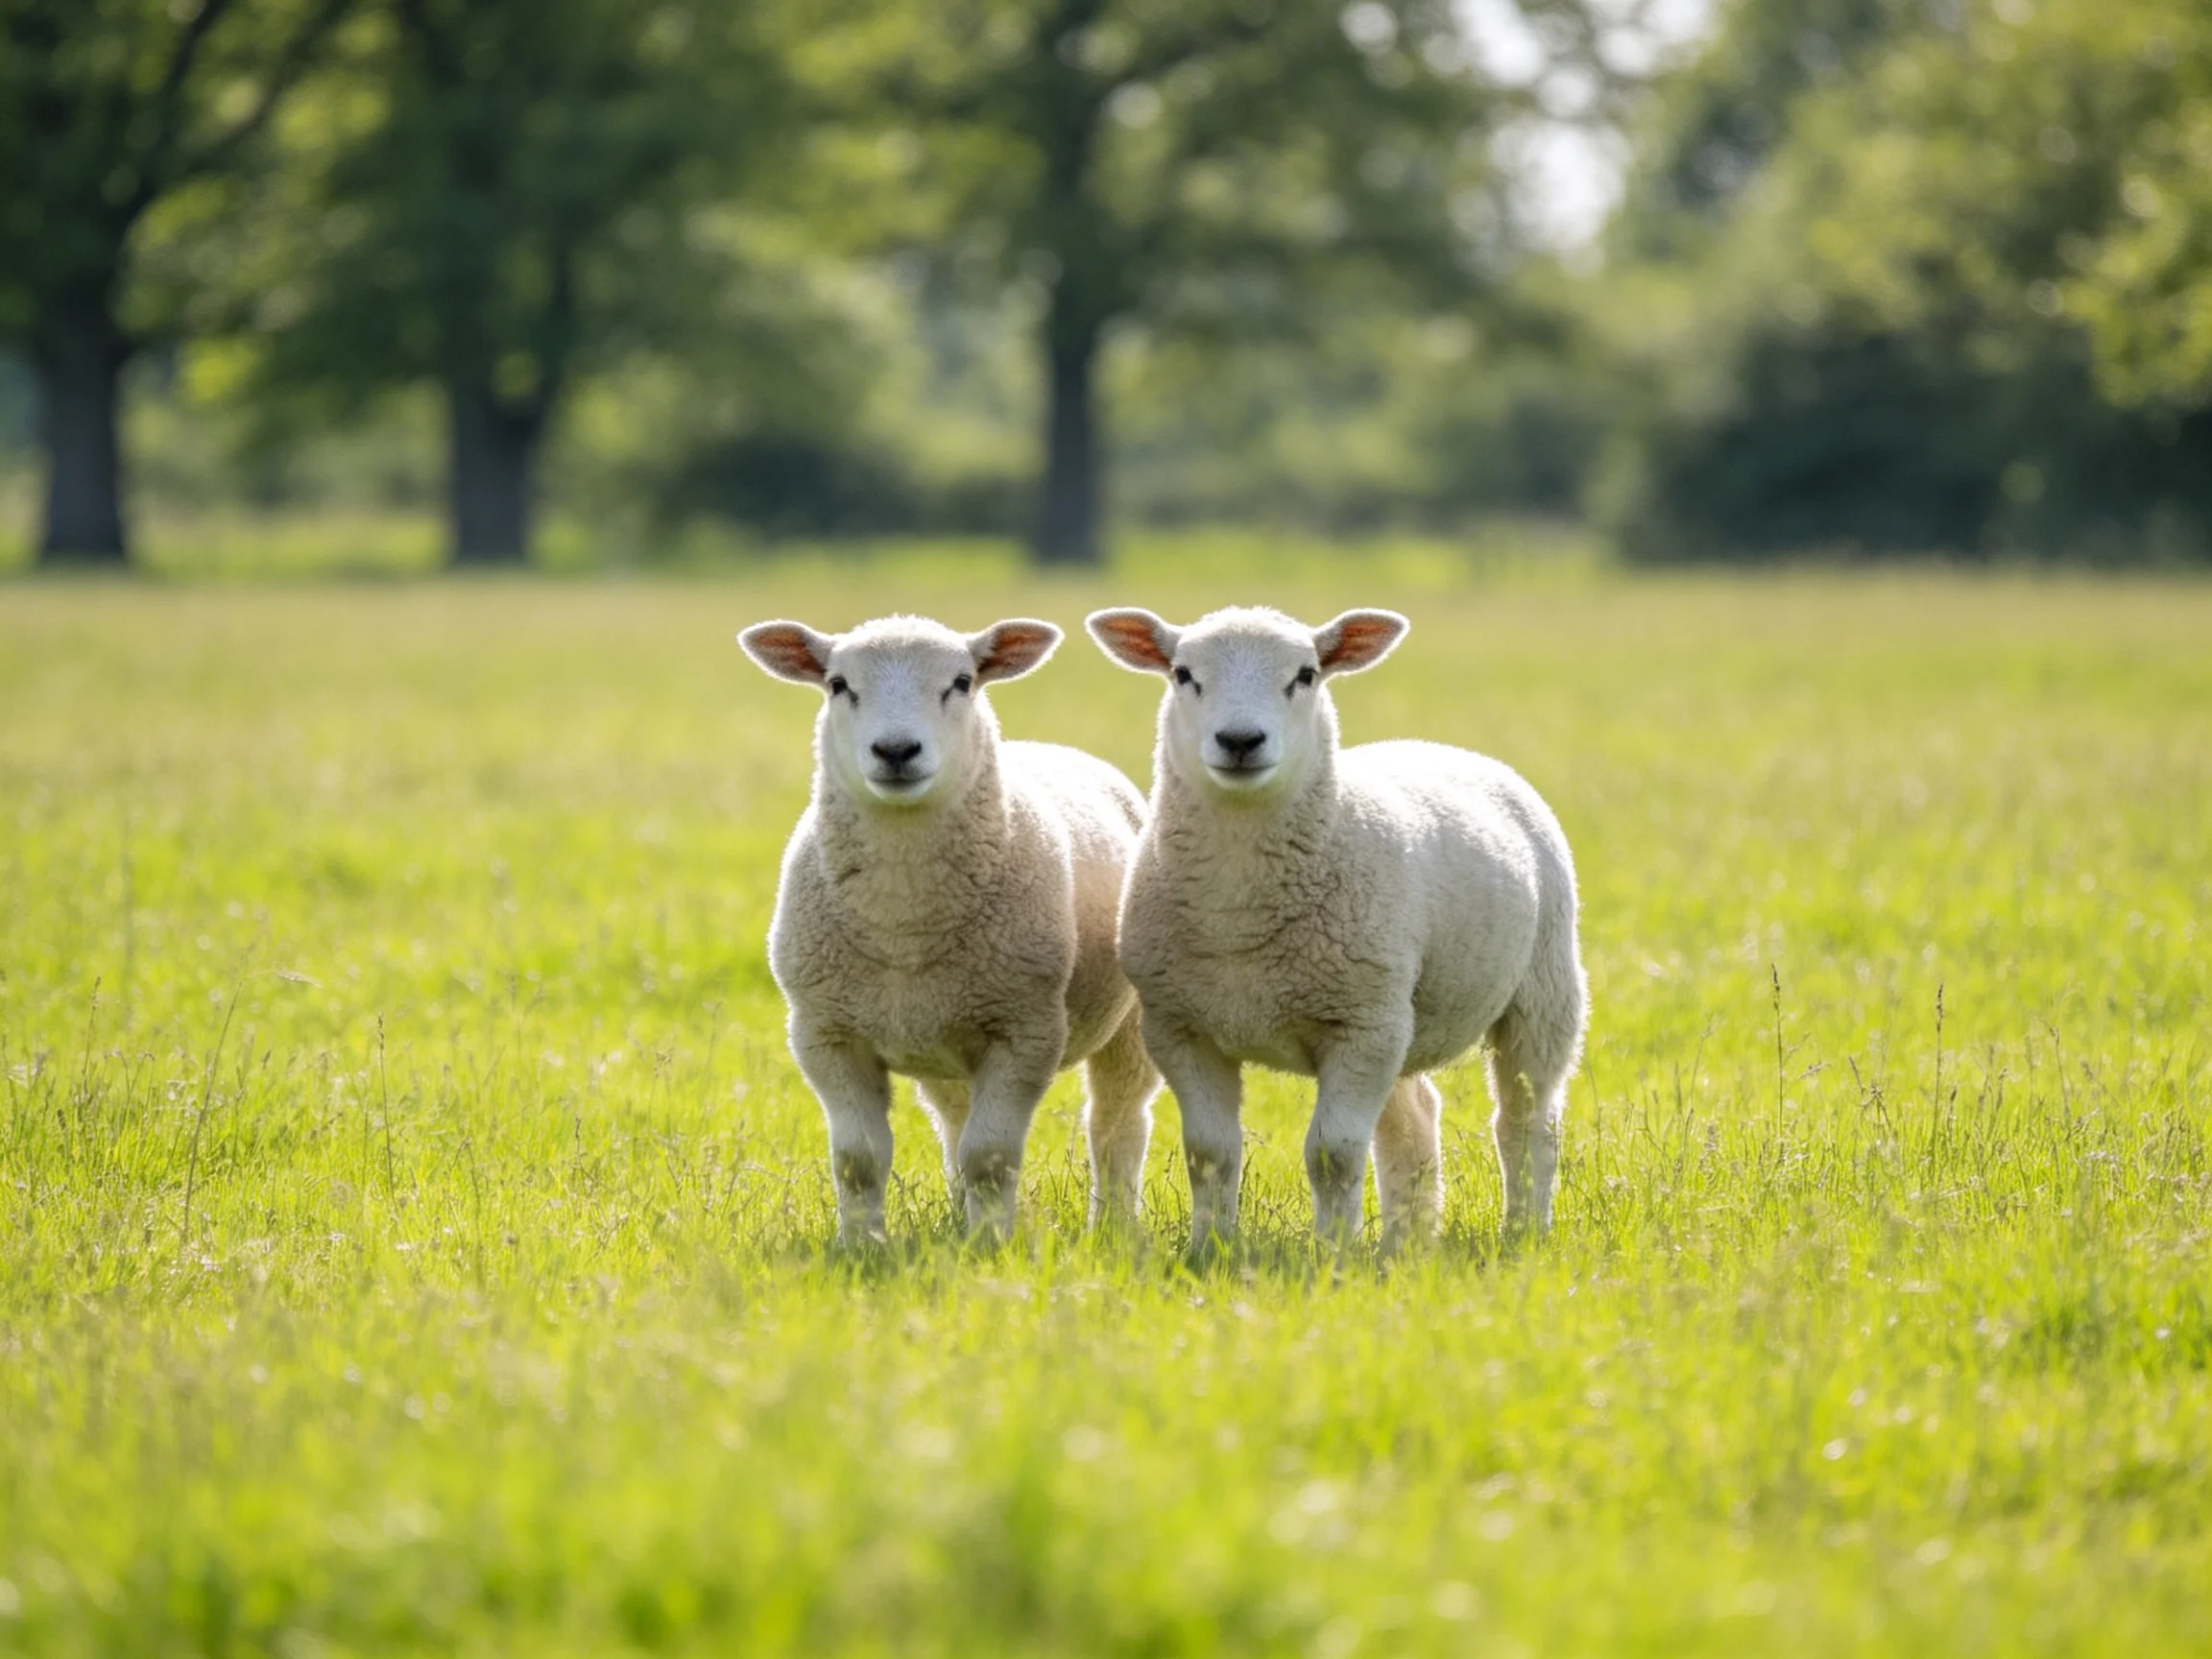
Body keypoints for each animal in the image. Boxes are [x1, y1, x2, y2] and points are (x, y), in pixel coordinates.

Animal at [739, 613, 1159, 1245]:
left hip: (1127, 1024)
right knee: (955, 1122)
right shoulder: (824, 1033)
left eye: (961, 683)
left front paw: (990, 1246)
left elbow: (989, 1156)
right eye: (838, 685)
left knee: (1116, 1123)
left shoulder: (1024, 1030)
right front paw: (862, 1246)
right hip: (941, 1036)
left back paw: (1112, 1226)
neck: (905, 924)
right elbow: (859, 1159)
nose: (895, 750)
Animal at [1085, 604, 1587, 1253]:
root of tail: (1438, 746)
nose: (1240, 741)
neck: (1239, 919)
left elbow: (1333, 1155)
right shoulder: (1181, 1029)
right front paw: (1210, 1248)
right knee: (1414, 1117)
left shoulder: (1360, 1026)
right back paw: (1407, 1242)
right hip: (1402, 1017)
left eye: (1306, 675)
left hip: (1540, 990)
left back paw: (1523, 1230)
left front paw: (1333, 1253)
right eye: (1183, 674)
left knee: (1528, 1122)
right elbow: (1210, 1154)